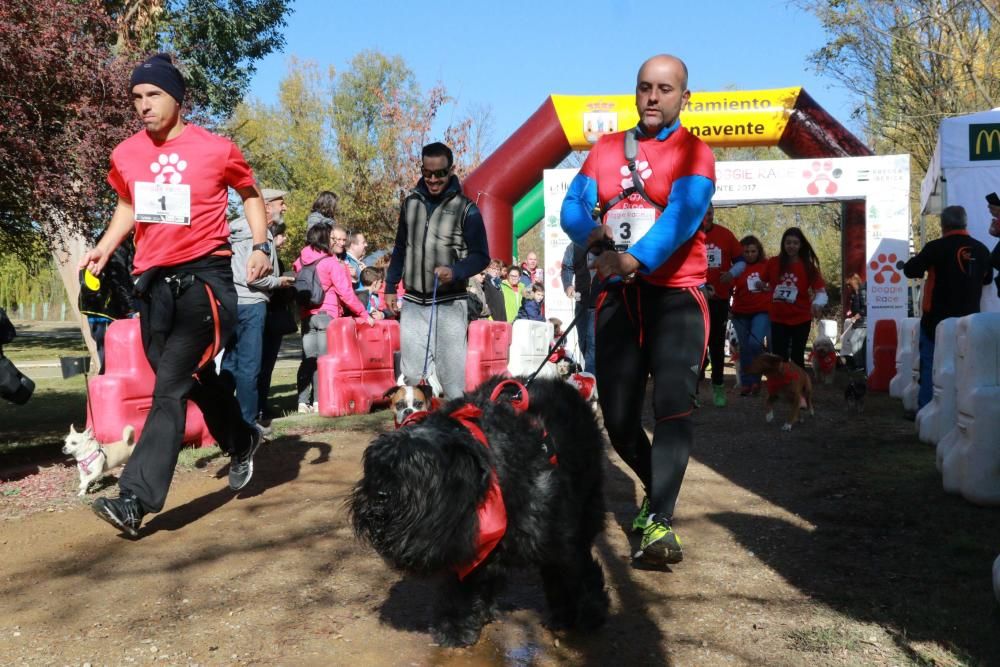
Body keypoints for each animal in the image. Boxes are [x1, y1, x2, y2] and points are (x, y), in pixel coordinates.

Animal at [348, 378, 604, 648]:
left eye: (415, 468)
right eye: (375, 467)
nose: (379, 495)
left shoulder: (559, 537)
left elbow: (575, 571)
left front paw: (588, 612)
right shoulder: (470, 542)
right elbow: (462, 587)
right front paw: (456, 627)